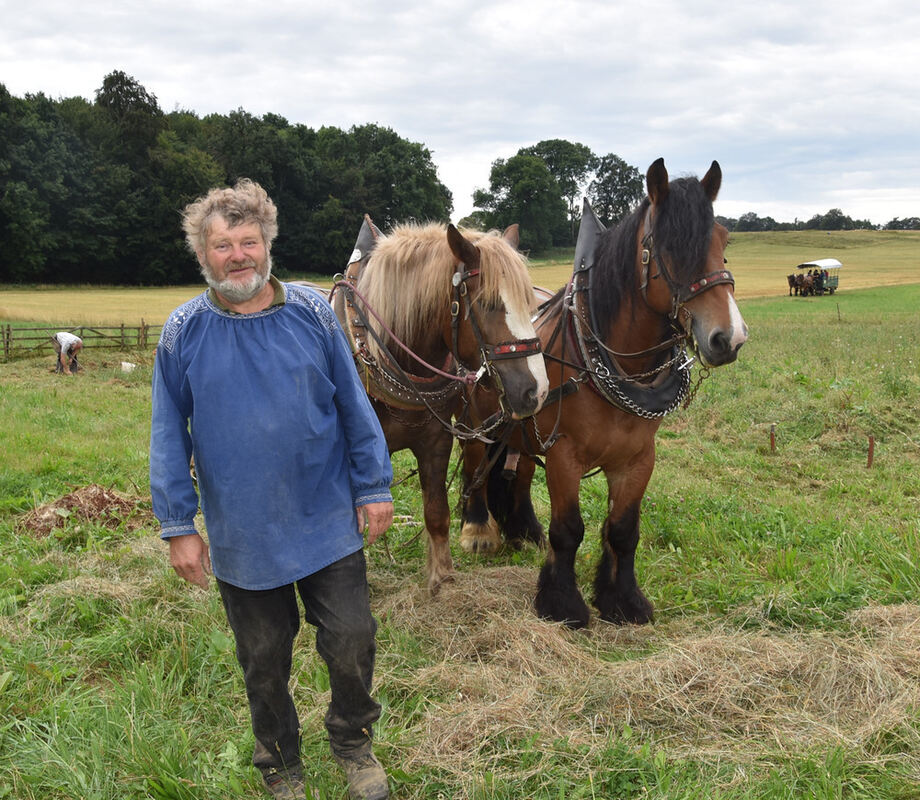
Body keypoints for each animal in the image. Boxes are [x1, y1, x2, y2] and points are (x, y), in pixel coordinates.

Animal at [330, 219, 548, 592]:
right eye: (488, 303)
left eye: (531, 305)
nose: (537, 390)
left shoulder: (436, 442)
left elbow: (436, 513)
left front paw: (442, 579)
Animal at [460, 159, 748, 628]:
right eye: (669, 246)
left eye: (722, 240)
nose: (730, 337)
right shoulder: (564, 455)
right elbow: (568, 530)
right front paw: (562, 603)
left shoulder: (638, 459)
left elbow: (624, 529)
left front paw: (623, 599)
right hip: (474, 422)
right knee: (474, 469)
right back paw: (478, 529)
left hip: (522, 429)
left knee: (518, 472)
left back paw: (523, 530)